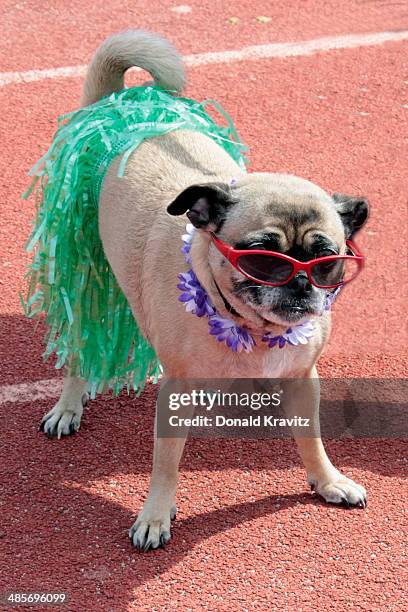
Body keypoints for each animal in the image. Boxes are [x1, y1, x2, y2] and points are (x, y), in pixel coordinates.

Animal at [39, 31, 370, 552]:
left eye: (327, 262)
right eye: (262, 258)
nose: (300, 280)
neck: (250, 327)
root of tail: (118, 105)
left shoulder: (304, 378)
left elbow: (311, 438)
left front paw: (328, 480)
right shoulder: (176, 402)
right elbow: (165, 463)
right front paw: (155, 516)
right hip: (86, 278)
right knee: (80, 351)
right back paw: (68, 405)